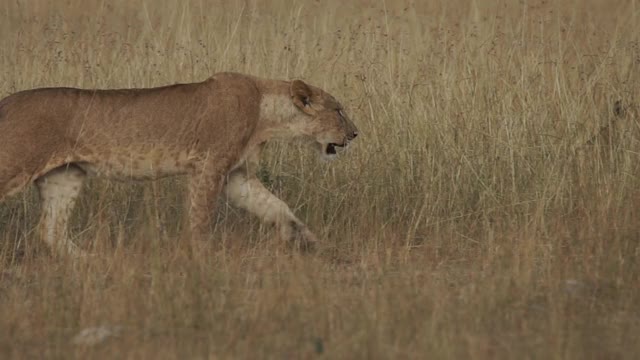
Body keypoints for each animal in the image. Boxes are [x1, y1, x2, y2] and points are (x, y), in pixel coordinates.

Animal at [0, 71, 360, 256]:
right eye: (339, 110)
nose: (356, 133)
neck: (266, 112)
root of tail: (5, 102)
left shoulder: (237, 176)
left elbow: (278, 207)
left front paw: (309, 241)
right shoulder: (209, 166)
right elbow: (200, 219)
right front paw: (202, 260)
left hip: (64, 177)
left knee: (50, 231)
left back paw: (92, 263)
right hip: (16, 165)